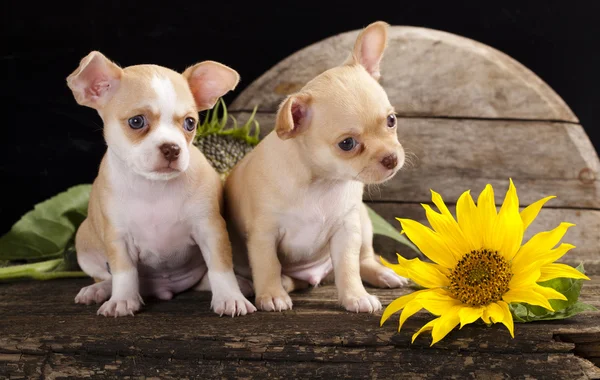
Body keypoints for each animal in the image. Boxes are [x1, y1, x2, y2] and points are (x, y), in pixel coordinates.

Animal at [68, 50, 255, 318]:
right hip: (84, 243)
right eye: (136, 122)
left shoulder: (210, 229)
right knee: (107, 276)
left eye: (190, 123)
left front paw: (230, 297)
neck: (153, 187)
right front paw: (122, 300)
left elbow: (220, 267)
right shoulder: (118, 238)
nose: (172, 148)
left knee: (206, 277)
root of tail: (164, 289)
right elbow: (124, 272)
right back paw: (99, 290)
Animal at [224, 20, 408, 314]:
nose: (391, 158)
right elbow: (268, 265)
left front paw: (355, 296)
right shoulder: (264, 235)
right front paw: (271, 294)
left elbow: (348, 267)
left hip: (363, 221)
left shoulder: (347, 231)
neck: (321, 181)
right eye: (347, 144)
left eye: (391, 120)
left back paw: (383, 274)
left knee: (365, 259)